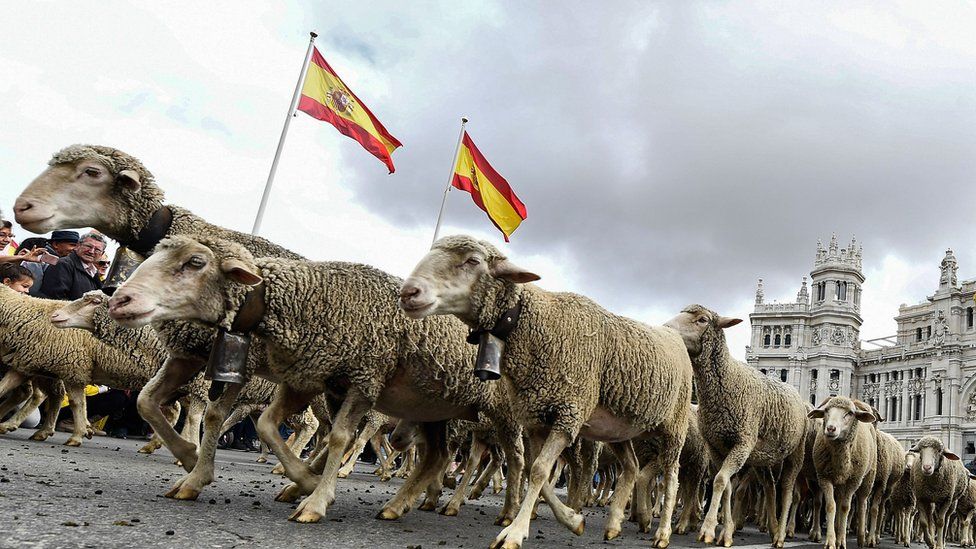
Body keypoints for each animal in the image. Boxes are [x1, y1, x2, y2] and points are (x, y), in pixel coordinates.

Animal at [13, 144, 306, 500]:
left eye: (92, 172)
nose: (22, 207)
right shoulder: (188, 358)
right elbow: (149, 403)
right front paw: (186, 454)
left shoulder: (221, 369)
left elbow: (203, 416)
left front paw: (193, 465)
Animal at [105, 233, 528, 524]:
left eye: (194, 262)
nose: (120, 299)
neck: (309, 299)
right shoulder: (305, 378)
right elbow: (261, 424)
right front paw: (301, 479)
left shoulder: (363, 378)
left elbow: (338, 437)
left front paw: (316, 497)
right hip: (435, 408)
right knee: (436, 457)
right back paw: (399, 504)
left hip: (501, 416)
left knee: (512, 461)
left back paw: (506, 510)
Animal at [664, 306, 808, 544]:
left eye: (702, 320)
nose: (666, 329)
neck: (729, 378)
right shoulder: (716, 447)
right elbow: (728, 486)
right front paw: (726, 532)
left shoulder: (742, 443)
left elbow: (720, 481)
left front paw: (708, 529)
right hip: (763, 457)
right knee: (770, 487)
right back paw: (772, 527)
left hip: (795, 453)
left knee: (787, 491)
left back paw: (780, 535)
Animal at [804, 396, 880, 548]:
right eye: (826, 410)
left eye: (850, 413)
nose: (830, 428)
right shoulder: (824, 477)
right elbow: (831, 505)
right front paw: (831, 541)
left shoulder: (853, 481)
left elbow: (846, 507)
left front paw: (842, 541)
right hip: (839, 482)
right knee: (836, 501)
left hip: (867, 478)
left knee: (863, 504)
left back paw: (861, 537)